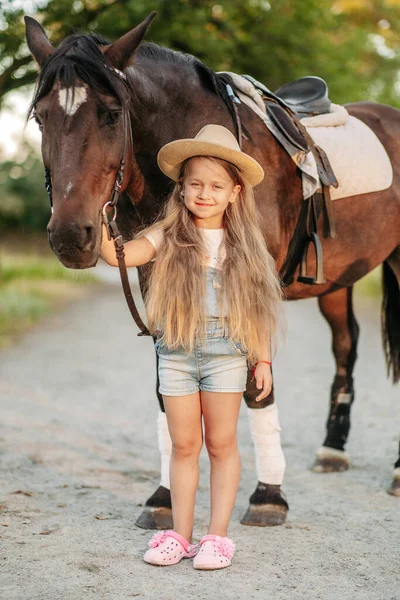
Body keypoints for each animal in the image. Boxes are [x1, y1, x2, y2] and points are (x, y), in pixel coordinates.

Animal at [25, 12, 400, 528]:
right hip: (335, 280)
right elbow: (167, 387)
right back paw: (332, 450)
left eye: (111, 114)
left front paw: (268, 495)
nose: (69, 236)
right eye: (41, 117)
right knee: (346, 346)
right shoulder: (156, 278)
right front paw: (164, 497)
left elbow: (258, 389)